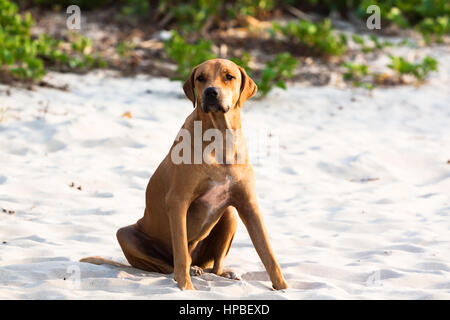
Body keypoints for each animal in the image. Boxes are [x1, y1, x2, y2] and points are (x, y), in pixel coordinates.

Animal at [81, 58, 288, 292]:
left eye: (229, 76)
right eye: (201, 78)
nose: (210, 92)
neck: (219, 137)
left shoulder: (249, 205)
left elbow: (268, 253)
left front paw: (283, 287)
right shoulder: (178, 201)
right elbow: (180, 250)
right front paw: (186, 287)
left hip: (229, 216)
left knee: (213, 265)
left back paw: (221, 272)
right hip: (126, 235)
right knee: (170, 263)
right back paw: (188, 270)